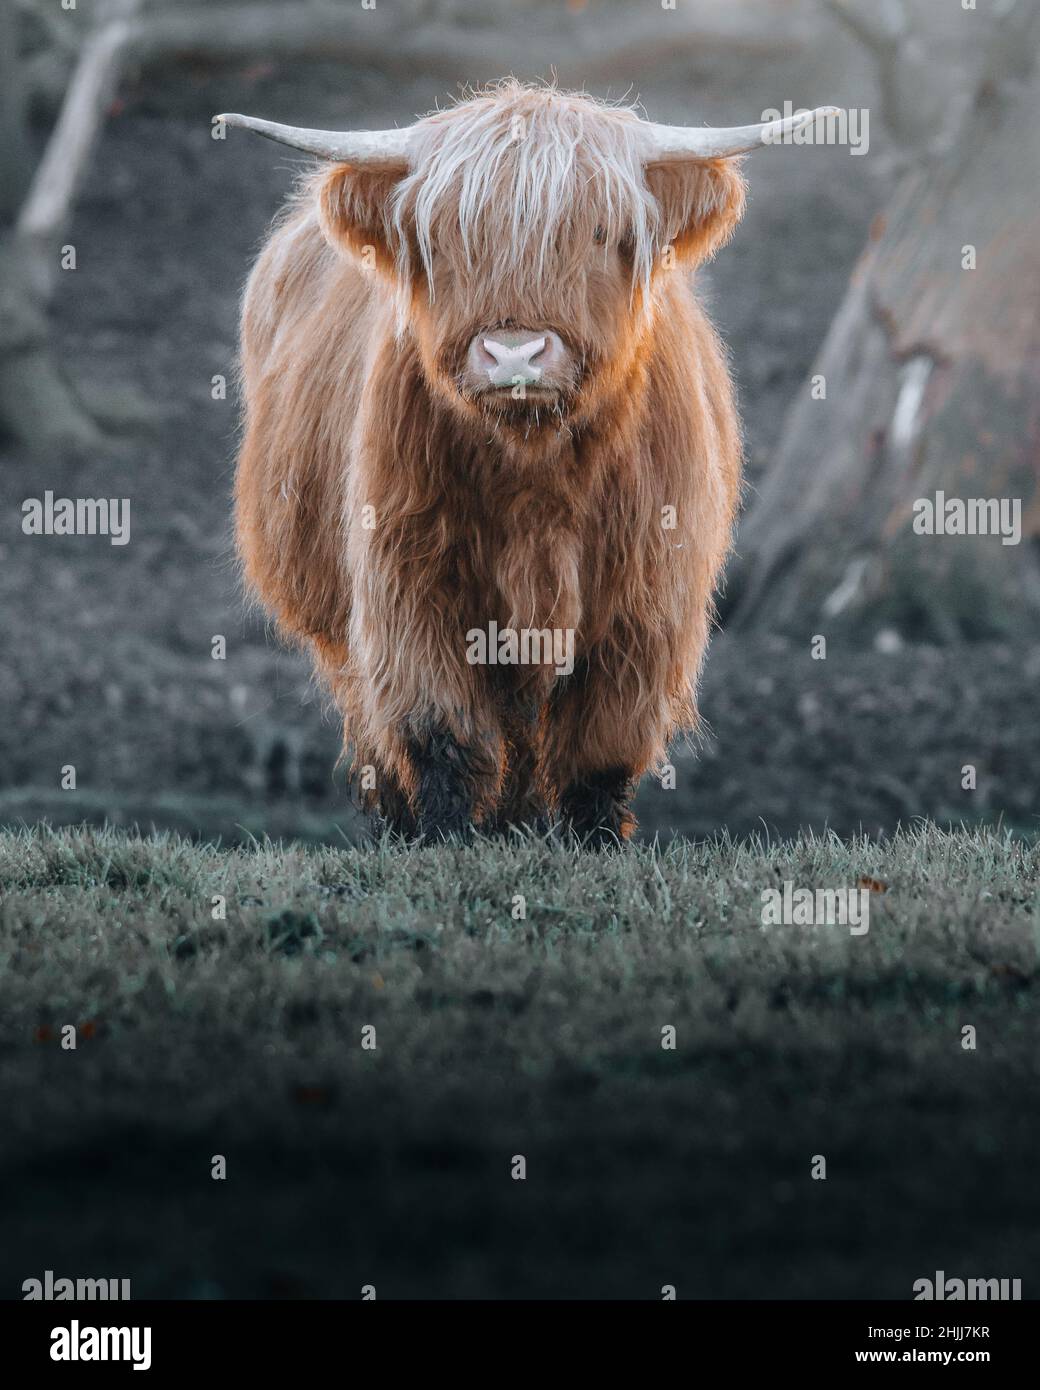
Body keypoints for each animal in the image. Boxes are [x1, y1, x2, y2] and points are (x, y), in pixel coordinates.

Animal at [223, 82, 835, 844]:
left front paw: (592, 841)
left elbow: (602, 747)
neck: (533, 469)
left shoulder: (644, 596)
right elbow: (440, 730)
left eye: (599, 232)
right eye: (444, 240)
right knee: (378, 732)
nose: (515, 353)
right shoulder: (407, 576)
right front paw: (444, 839)